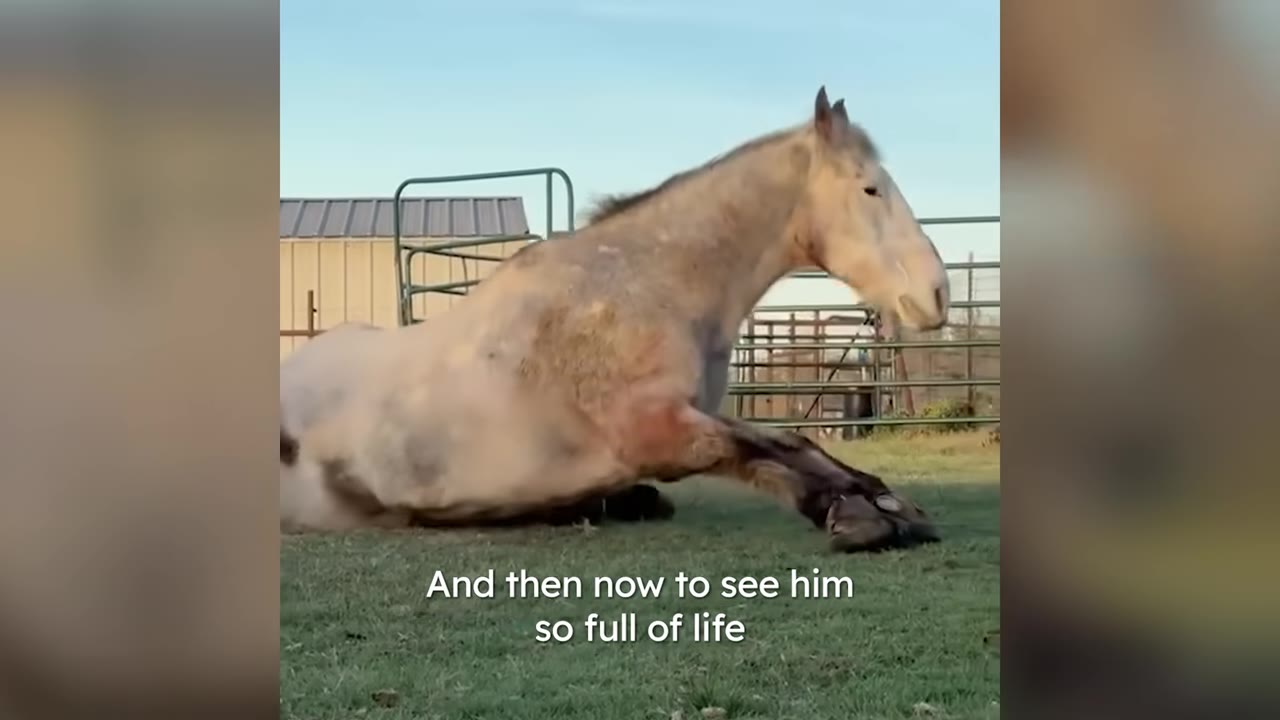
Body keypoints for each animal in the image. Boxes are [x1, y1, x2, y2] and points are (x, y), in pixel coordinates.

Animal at [279, 87, 947, 551]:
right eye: (869, 189)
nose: (937, 293)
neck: (646, 286)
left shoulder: (690, 412)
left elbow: (790, 442)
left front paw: (889, 503)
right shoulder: (653, 431)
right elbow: (755, 454)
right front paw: (857, 517)